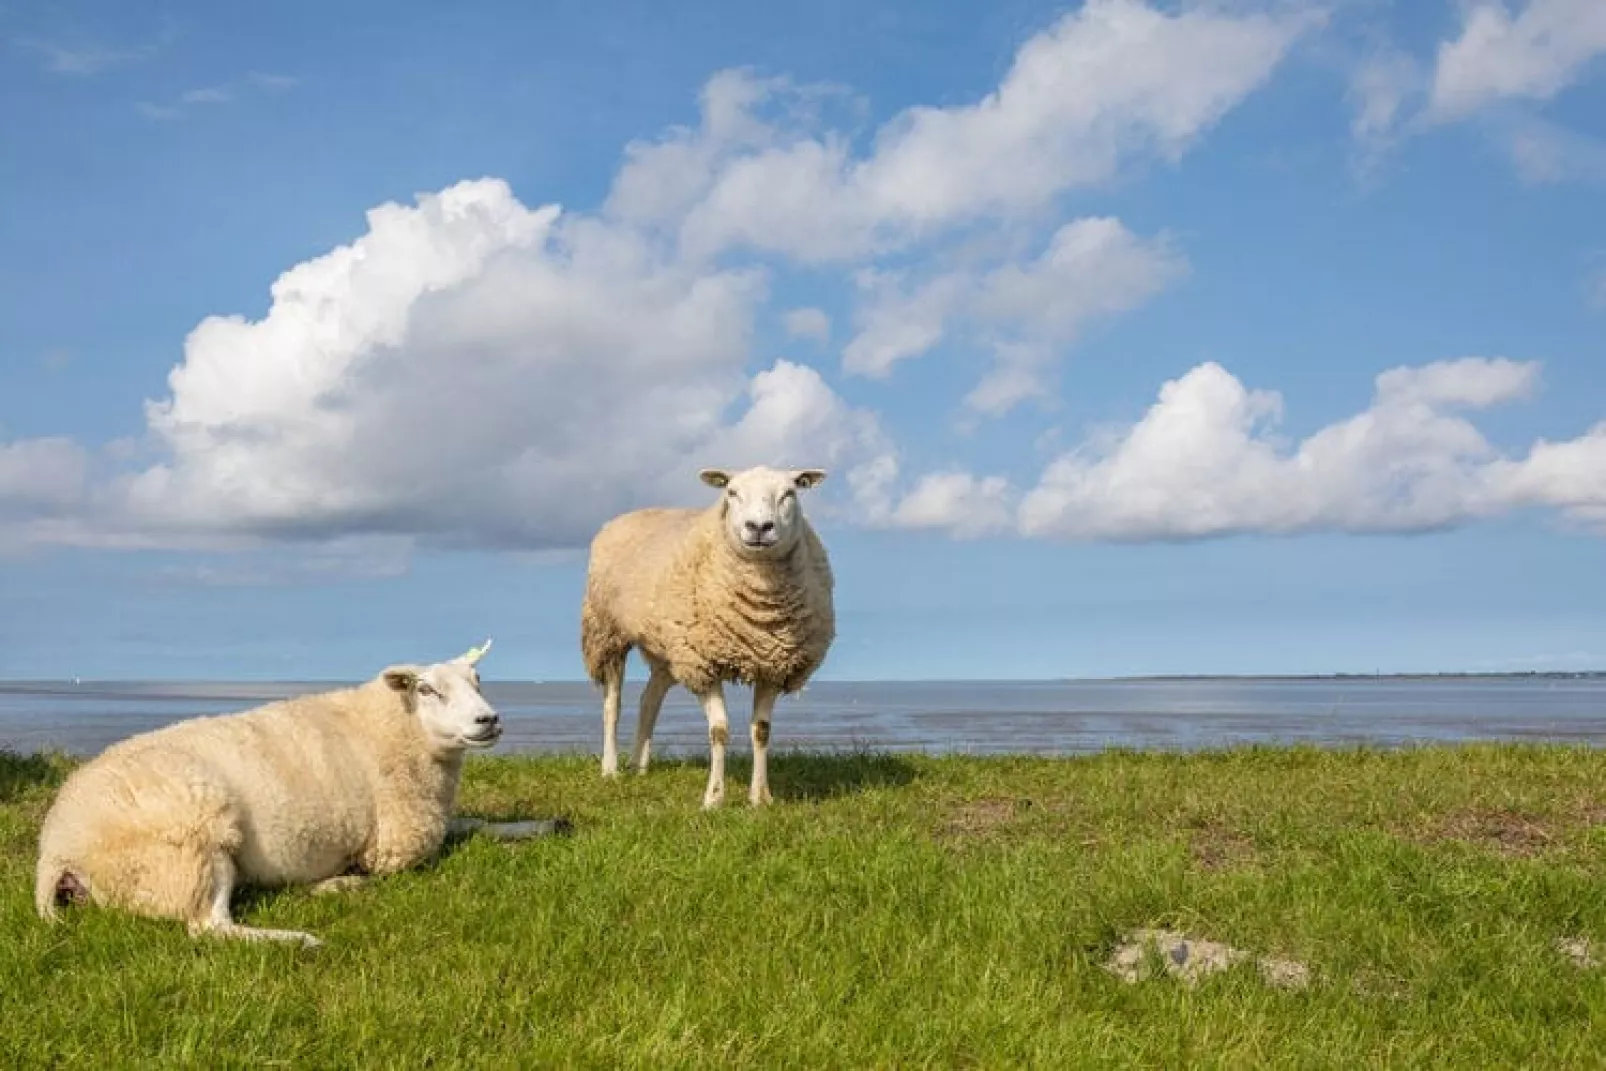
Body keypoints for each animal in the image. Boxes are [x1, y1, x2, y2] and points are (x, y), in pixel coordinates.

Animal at [34, 642, 568, 944]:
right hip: (191, 844)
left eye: (479, 681)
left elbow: (477, 823)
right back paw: (303, 934)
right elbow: (462, 835)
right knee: (209, 927)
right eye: (427, 690)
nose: (488, 720)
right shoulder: (397, 844)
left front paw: (546, 824)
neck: (395, 730)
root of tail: (56, 847)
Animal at [578, 465, 835, 809]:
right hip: (608, 633)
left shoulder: (772, 664)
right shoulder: (703, 664)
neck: (762, 615)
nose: (759, 527)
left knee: (650, 699)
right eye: (731, 492)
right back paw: (611, 769)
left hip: (668, 649)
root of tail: (623, 517)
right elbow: (719, 731)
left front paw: (761, 797)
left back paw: (638, 766)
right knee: (612, 705)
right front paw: (714, 798)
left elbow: (762, 731)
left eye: (790, 492)